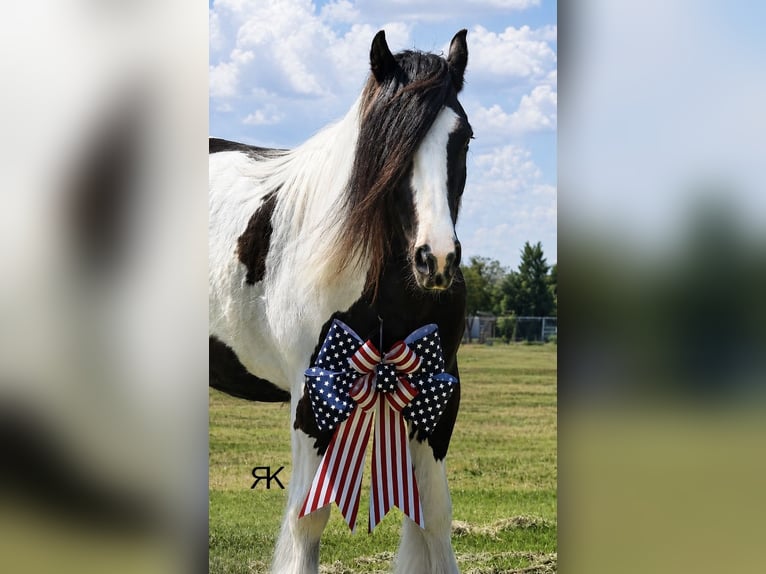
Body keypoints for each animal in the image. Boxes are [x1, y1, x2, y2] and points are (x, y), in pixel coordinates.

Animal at [209, 29, 472, 574]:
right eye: (387, 142)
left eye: (463, 138)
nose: (435, 259)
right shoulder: (315, 400)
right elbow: (308, 519)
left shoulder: (439, 395)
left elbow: (432, 516)